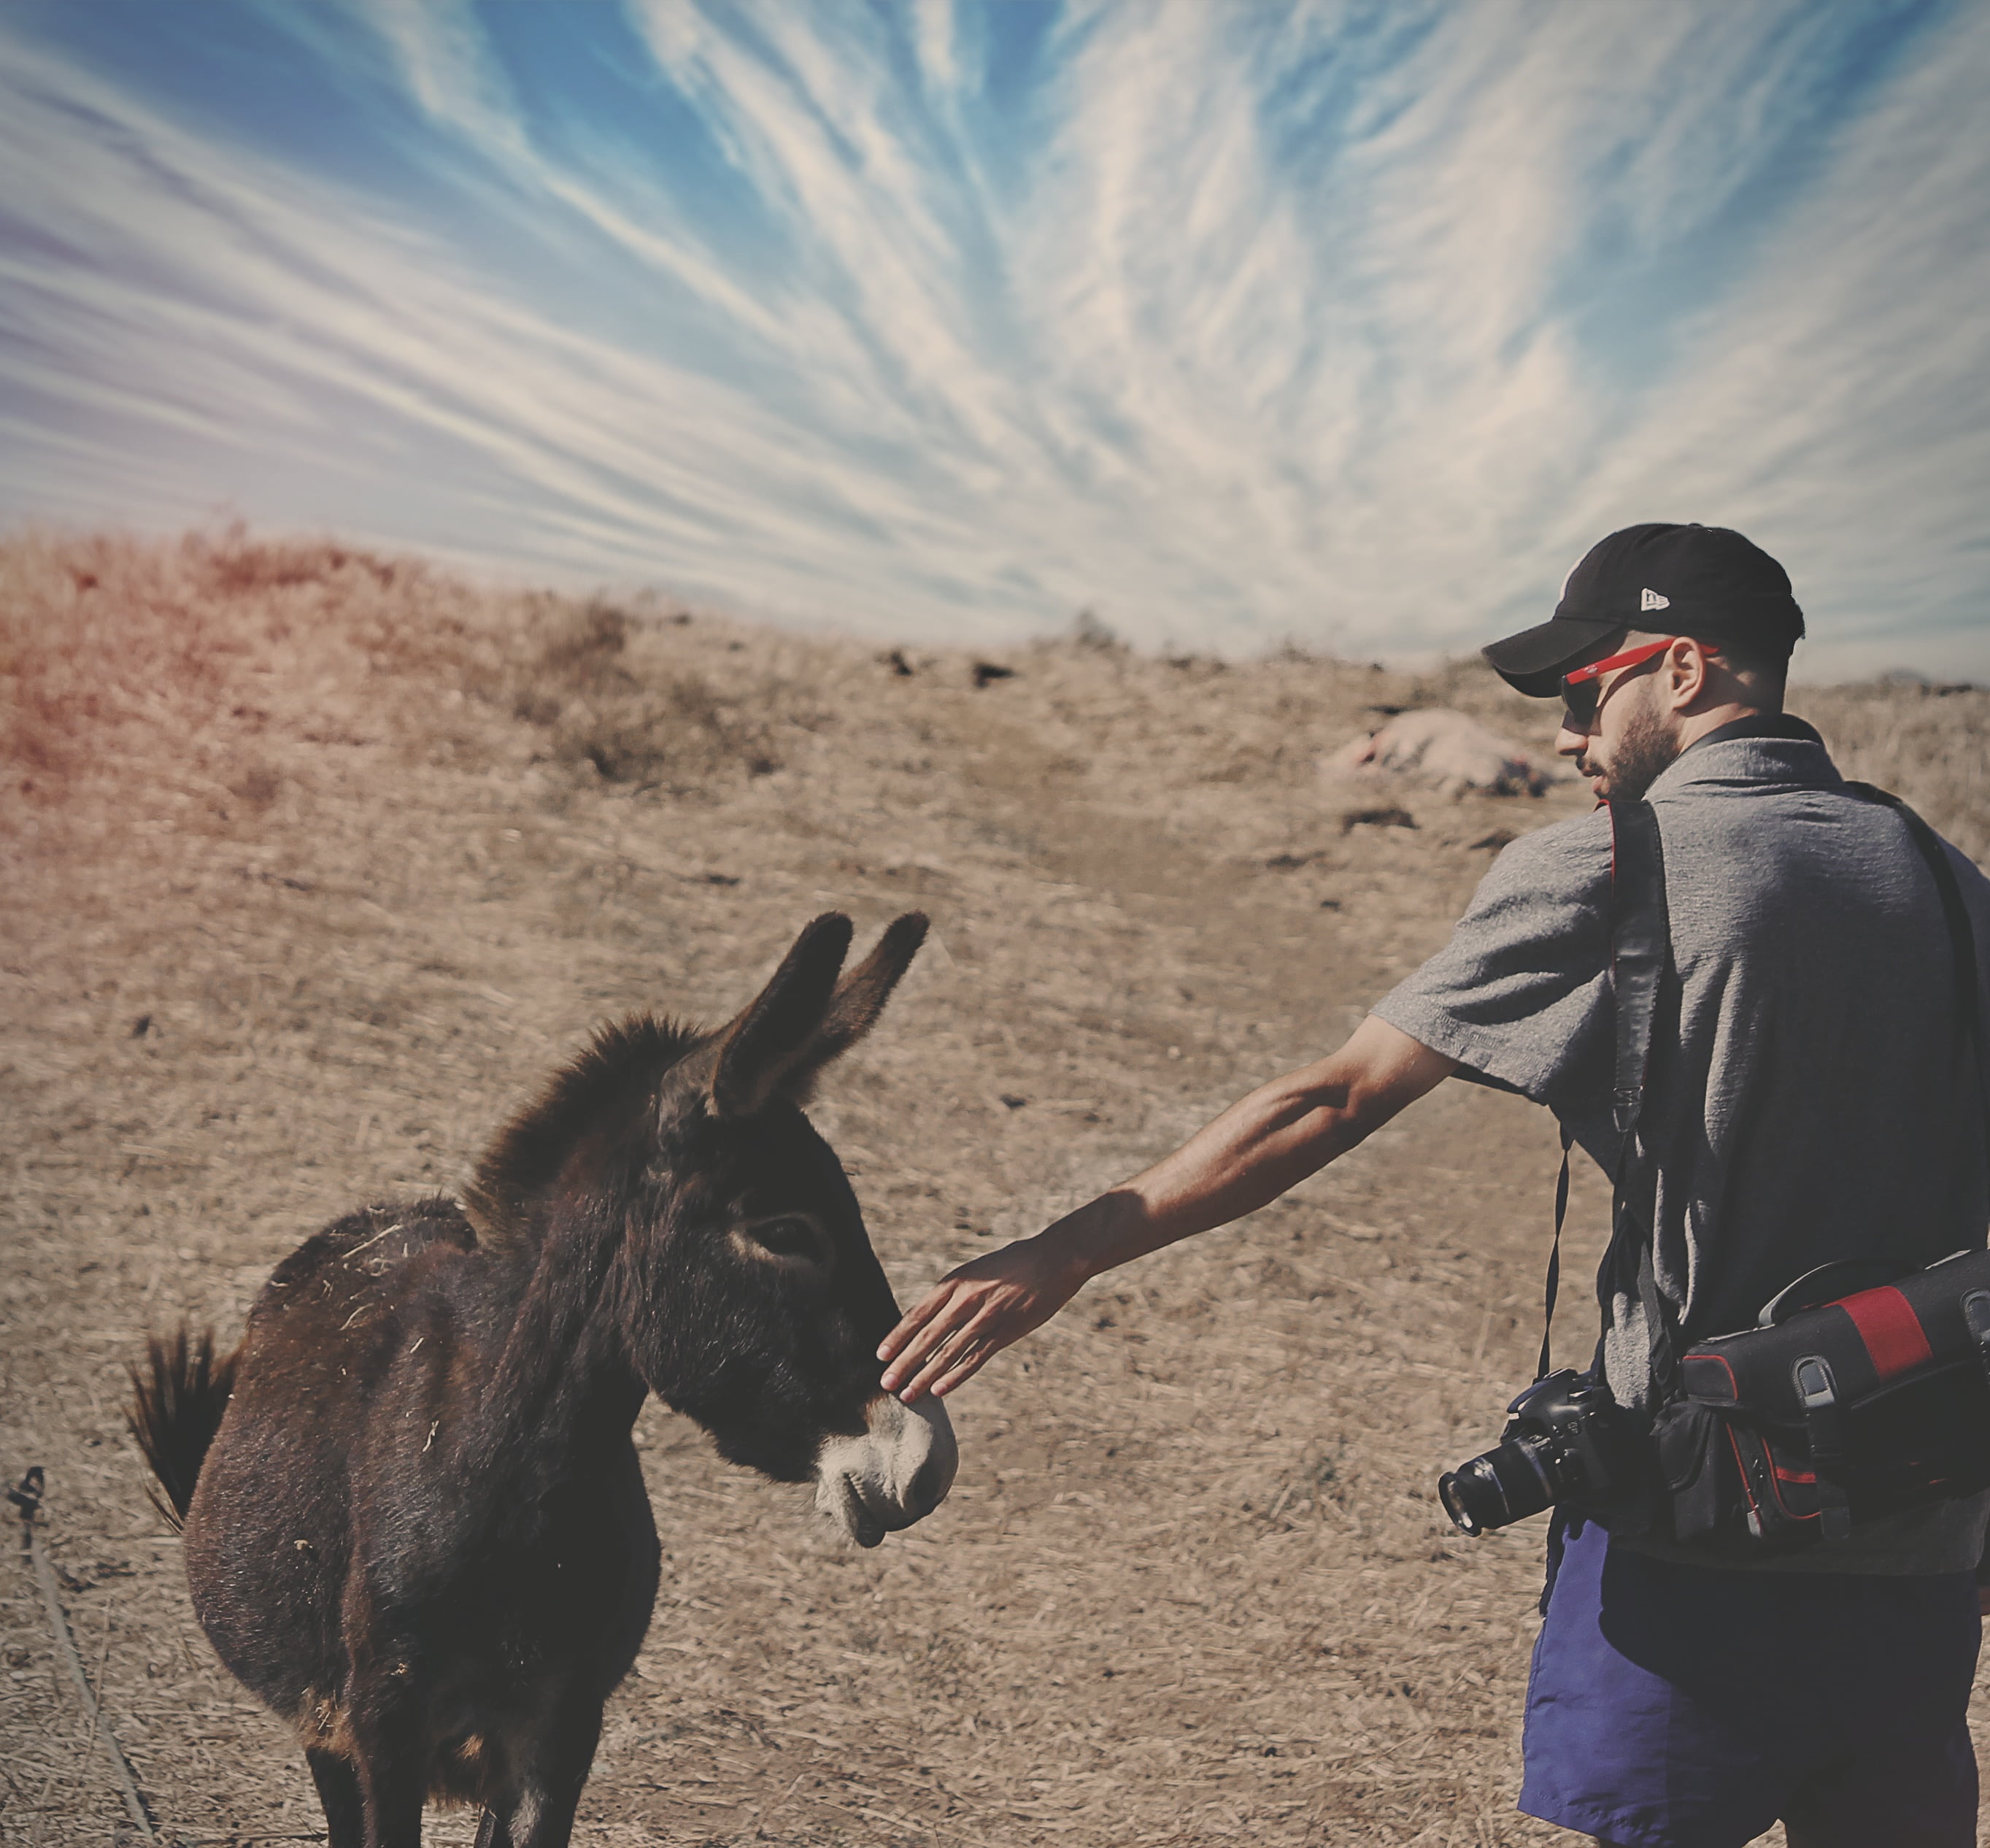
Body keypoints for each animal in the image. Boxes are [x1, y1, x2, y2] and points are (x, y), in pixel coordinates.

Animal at [129, 912, 956, 1848]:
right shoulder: (384, 1725)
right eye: (783, 1232)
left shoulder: (561, 1726)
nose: (929, 1464)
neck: (515, 1476)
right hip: (323, 1722)